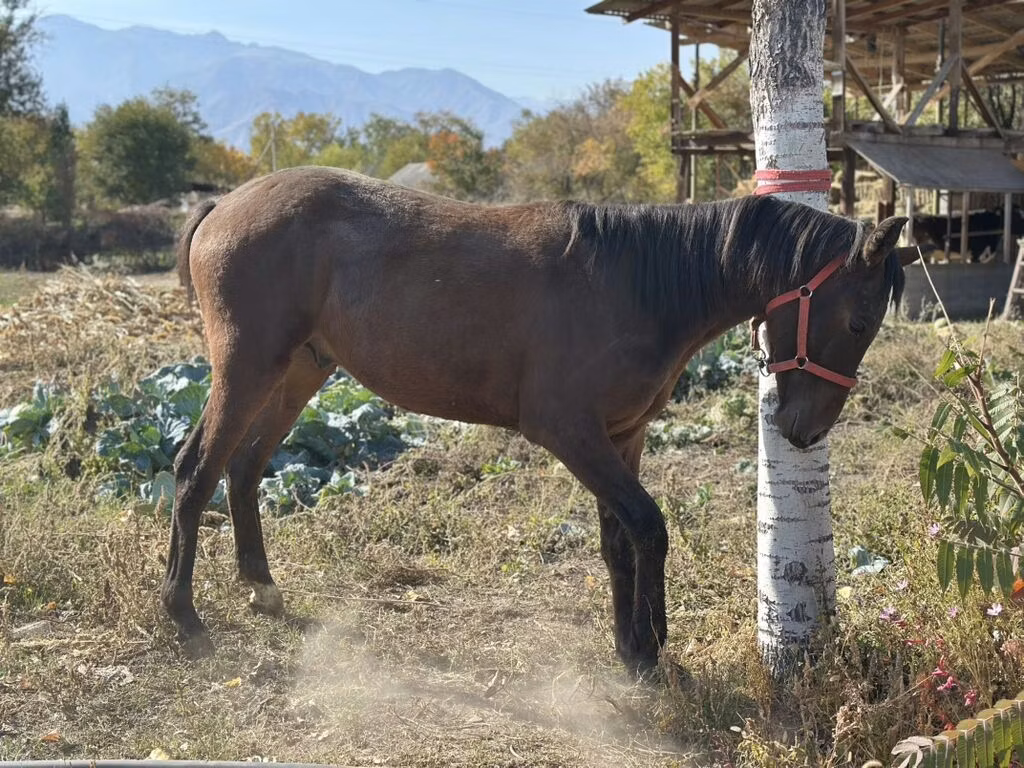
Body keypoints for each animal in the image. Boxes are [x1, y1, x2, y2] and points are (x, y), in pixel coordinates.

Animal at [167, 166, 914, 675]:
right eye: (857, 321)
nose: (804, 431)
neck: (634, 284)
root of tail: (225, 204)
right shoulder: (570, 433)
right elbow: (649, 527)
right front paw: (650, 645)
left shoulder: (623, 437)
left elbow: (619, 540)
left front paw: (628, 646)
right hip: (247, 368)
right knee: (194, 470)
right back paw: (184, 615)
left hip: (299, 371)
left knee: (243, 468)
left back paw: (261, 589)